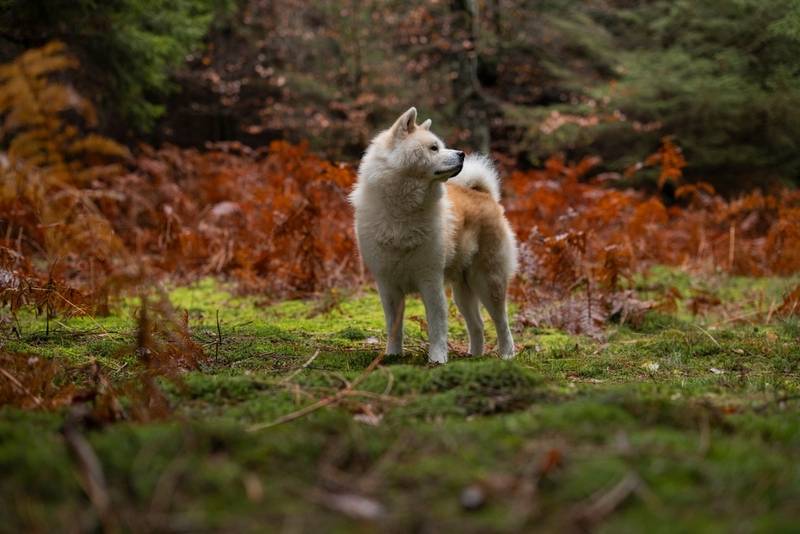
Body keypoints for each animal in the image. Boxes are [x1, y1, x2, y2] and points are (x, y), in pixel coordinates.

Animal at [352, 109, 520, 366]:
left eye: (439, 145)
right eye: (433, 148)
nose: (461, 154)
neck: (403, 212)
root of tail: (484, 194)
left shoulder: (430, 281)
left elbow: (437, 325)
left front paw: (438, 358)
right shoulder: (387, 285)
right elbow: (394, 326)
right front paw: (392, 355)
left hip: (488, 280)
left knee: (502, 323)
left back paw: (507, 355)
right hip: (463, 290)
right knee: (478, 324)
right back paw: (475, 356)